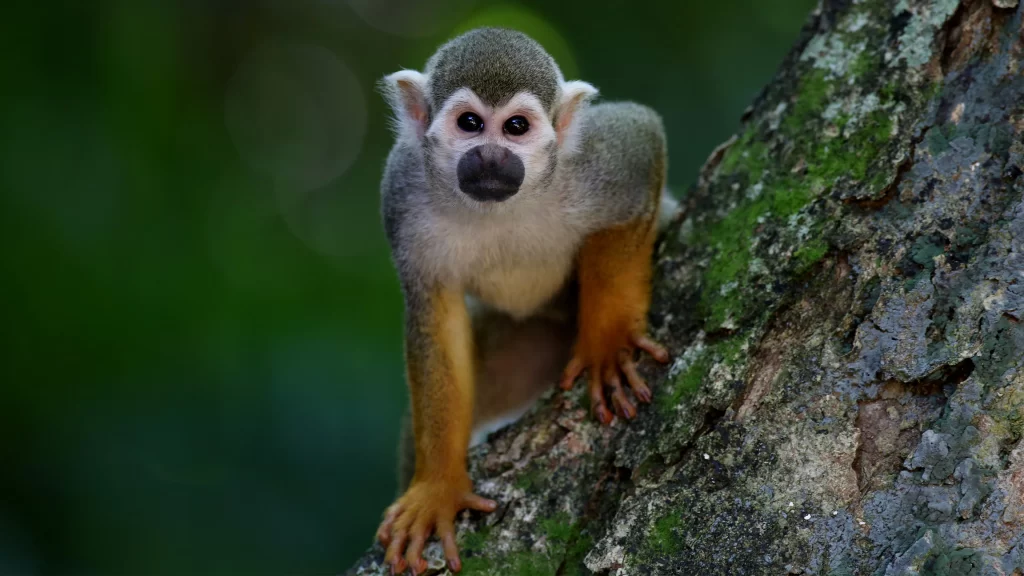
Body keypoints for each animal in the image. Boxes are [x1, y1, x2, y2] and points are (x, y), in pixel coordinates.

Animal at [375, 27, 671, 574]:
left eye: (516, 127)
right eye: (470, 124)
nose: (491, 158)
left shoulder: (595, 162)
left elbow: (642, 137)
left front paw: (608, 342)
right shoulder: (401, 192)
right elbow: (435, 317)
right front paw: (438, 487)